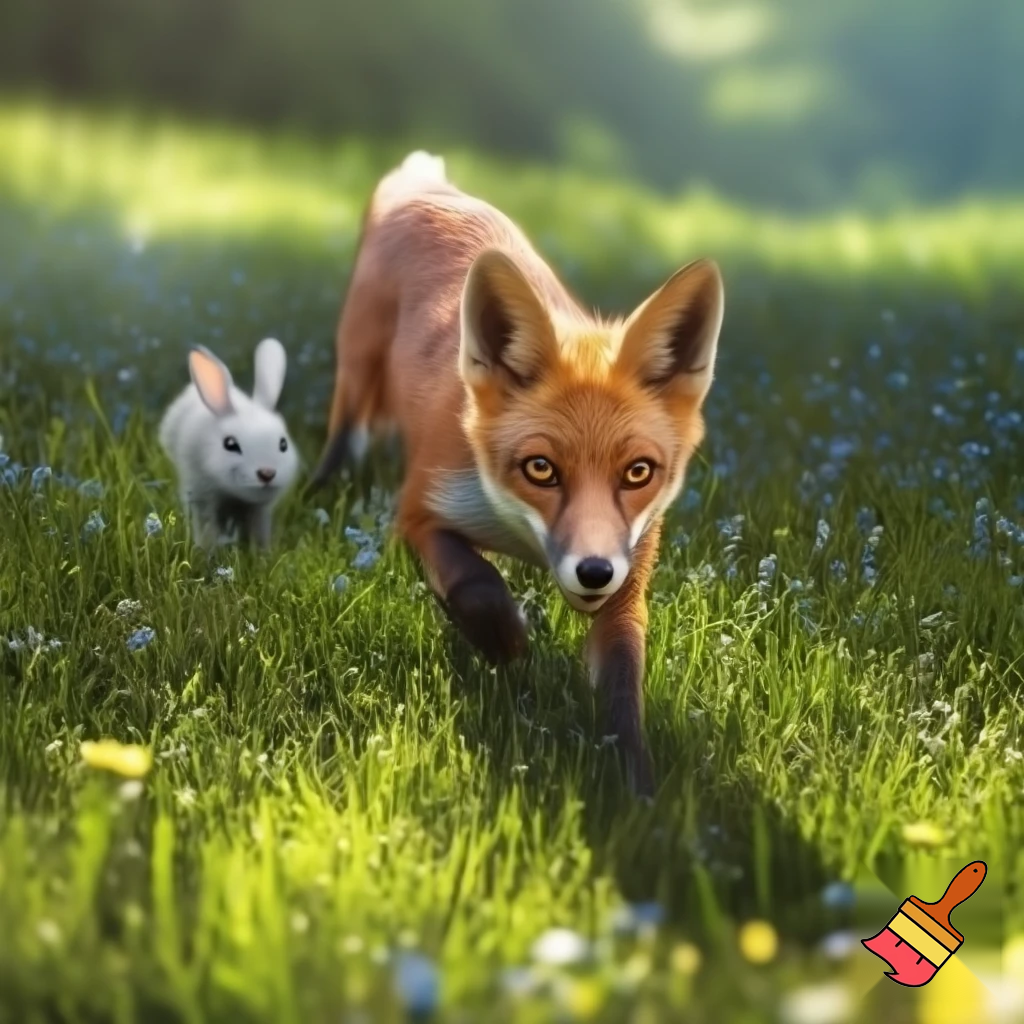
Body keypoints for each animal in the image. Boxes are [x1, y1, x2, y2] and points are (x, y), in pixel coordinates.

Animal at [159, 338, 300, 551]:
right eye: (230, 444)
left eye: (283, 444)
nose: (267, 473)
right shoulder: (202, 497)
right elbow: (207, 530)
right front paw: (207, 553)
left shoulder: (260, 510)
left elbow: (258, 532)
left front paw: (262, 554)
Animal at [310, 151, 724, 796]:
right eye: (540, 468)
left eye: (638, 473)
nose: (594, 571)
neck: (517, 531)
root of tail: (426, 185)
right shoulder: (421, 509)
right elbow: (474, 584)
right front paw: (503, 642)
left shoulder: (629, 579)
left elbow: (623, 691)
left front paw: (635, 789)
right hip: (357, 368)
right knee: (342, 437)